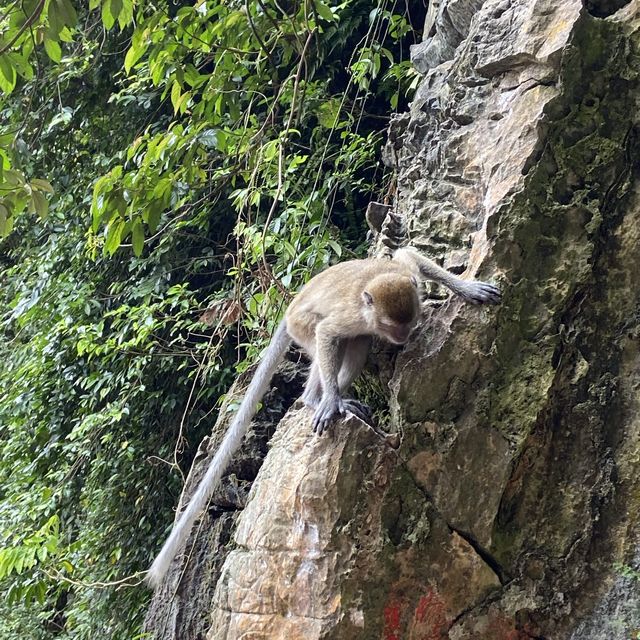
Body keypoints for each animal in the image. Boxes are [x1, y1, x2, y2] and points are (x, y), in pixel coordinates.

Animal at [145, 246, 500, 592]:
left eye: (408, 321)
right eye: (392, 326)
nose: (402, 337)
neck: (369, 309)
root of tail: (291, 304)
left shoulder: (406, 275)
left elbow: (409, 255)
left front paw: (466, 287)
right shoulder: (352, 315)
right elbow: (328, 332)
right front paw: (330, 400)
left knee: (358, 344)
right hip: (300, 324)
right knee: (325, 337)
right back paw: (318, 399)